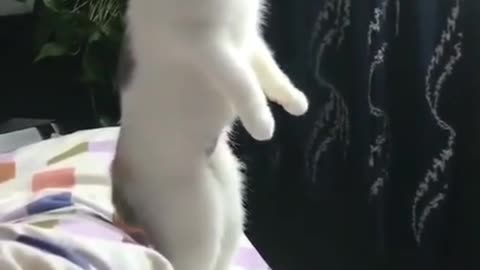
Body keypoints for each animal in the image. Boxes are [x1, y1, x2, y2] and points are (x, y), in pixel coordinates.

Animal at [111, 0, 308, 270]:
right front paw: (262, 123)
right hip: (199, 217)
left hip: (232, 205)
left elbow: (270, 70)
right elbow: (244, 81)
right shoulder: (207, 45)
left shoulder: (249, 38)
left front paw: (296, 100)